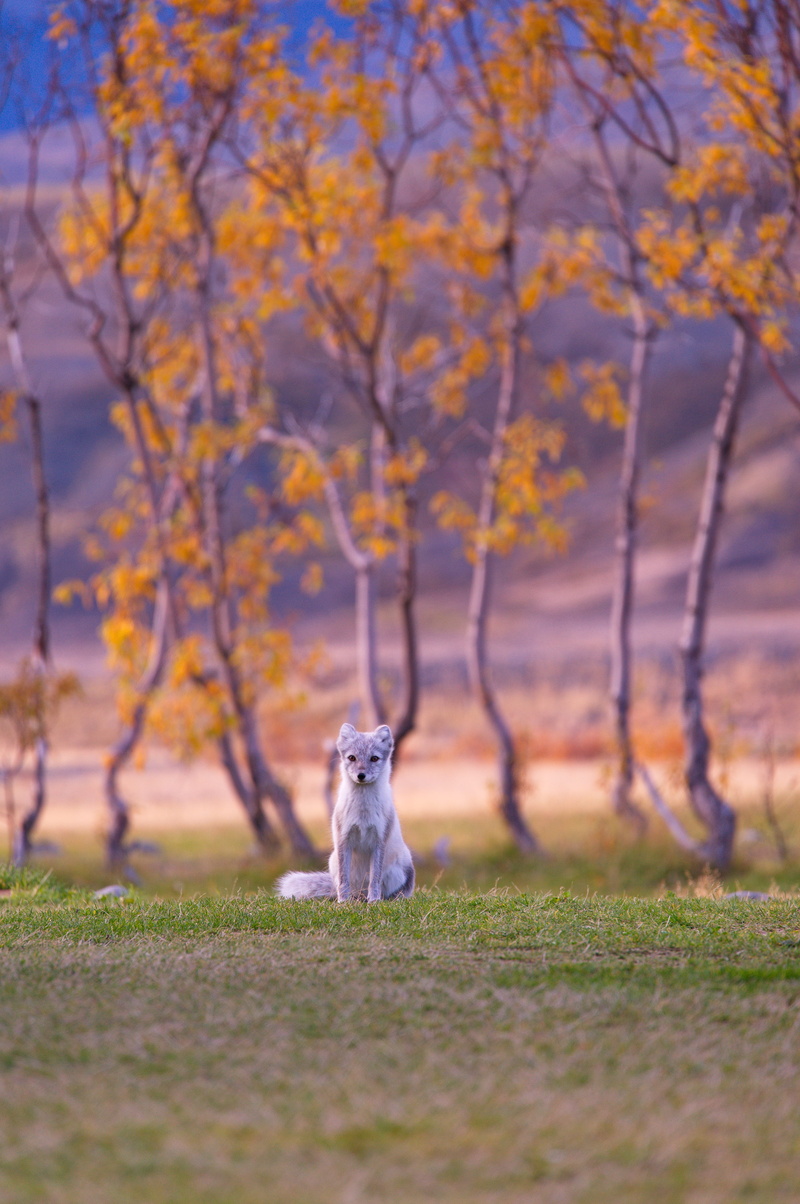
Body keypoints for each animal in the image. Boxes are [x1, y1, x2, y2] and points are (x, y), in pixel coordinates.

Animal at [276, 722, 415, 903]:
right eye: (352, 758)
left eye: (374, 758)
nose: (361, 775)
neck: (362, 811)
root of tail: (361, 891)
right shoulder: (344, 839)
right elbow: (343, 880)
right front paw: (343, 902)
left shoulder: (379, 840)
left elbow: (375, 879)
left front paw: (374, 901)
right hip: (333, 861)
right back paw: (353, 899)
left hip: (402, 867)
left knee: (391, 891)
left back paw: (386, 899)